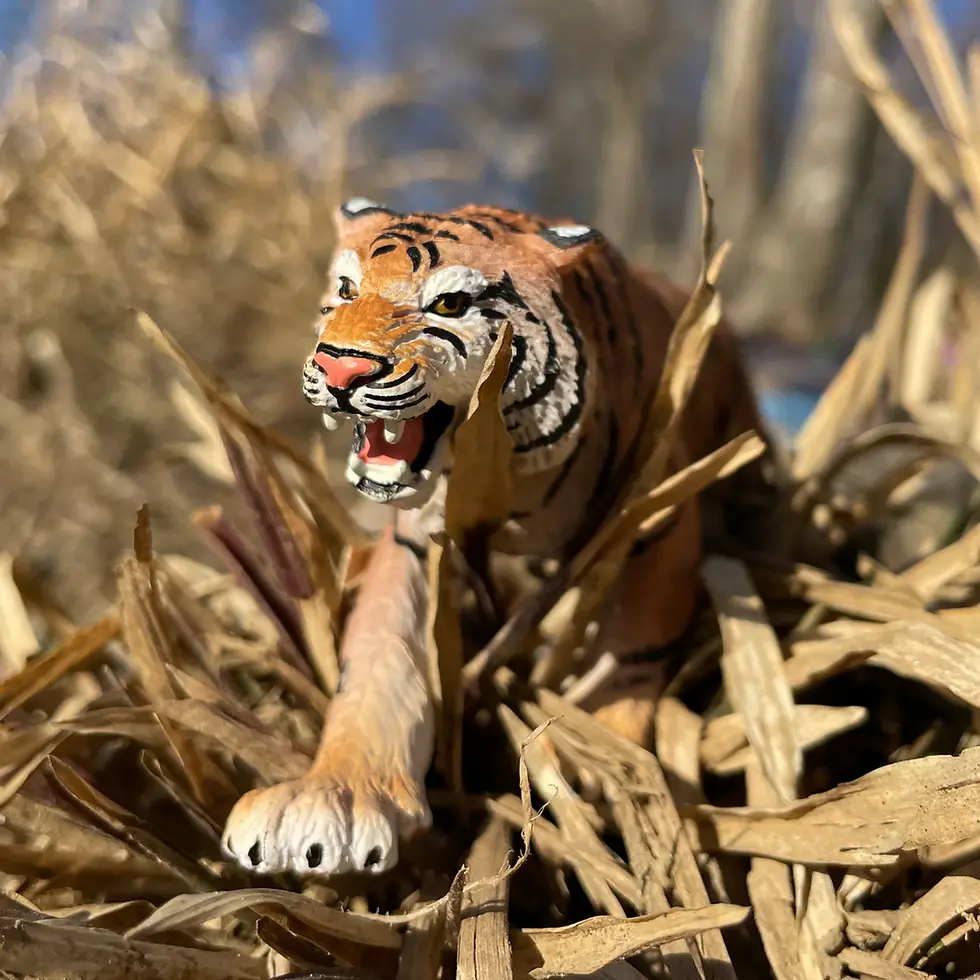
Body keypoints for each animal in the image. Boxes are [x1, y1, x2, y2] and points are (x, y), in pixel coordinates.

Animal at [221, 198, 772, 878]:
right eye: (346, 290)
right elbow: (377, 663)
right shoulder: (417, 546)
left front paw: (603, 762)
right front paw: (330, 799)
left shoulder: (657, 513)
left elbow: (631, 650)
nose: (339, 367)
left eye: (449, 304)